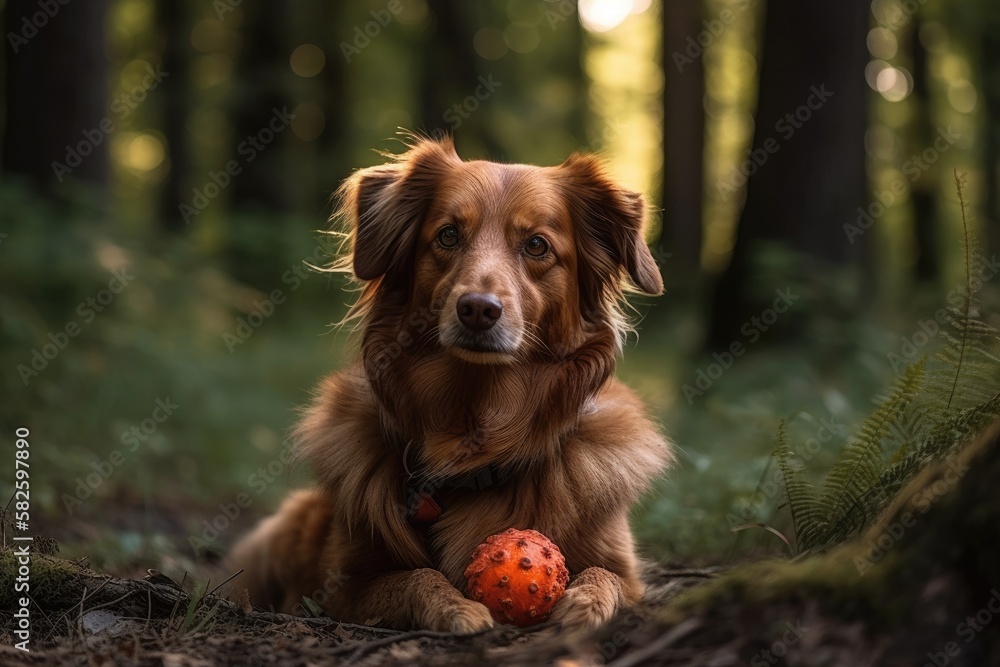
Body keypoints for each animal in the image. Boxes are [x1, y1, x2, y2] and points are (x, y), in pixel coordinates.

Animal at [229, 138, 672, 636]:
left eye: (536, 244)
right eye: (447, 235)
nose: (478, 309)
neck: (474, 430)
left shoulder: (626, 572)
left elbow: (604, 575)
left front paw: (582, 604)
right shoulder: (338, 588)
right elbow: (415, 576)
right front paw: (458, 609)